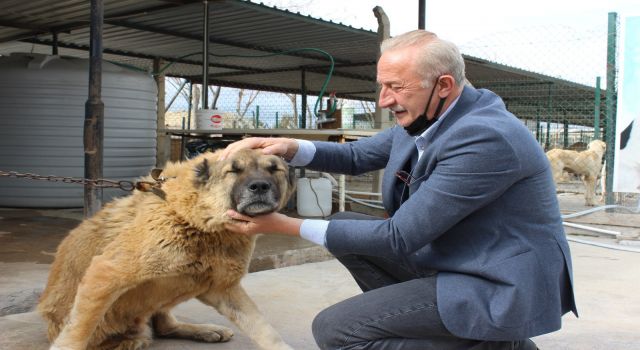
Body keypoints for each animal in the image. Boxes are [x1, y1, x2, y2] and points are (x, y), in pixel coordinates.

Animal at [37, 150, 292, 350]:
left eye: (274, 169)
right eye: (234, 171)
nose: (260, 186)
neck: (200, 224)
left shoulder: (222, 288)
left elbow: (263, 328)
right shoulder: (105, 272)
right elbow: (79, 328)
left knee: (165, 326)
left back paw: (205, 331)